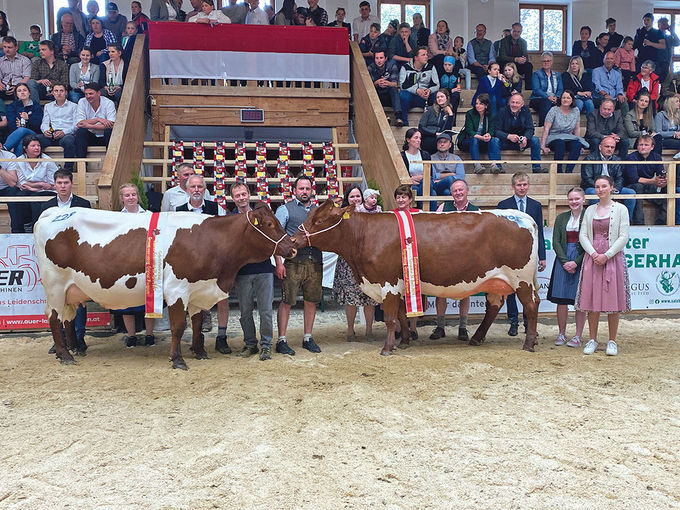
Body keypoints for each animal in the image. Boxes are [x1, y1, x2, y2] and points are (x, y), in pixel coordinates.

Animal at [33, 205, 294, 368]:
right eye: (269, 223)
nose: (291, 247)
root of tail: (55, 212)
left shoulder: (198, 291)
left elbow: (196, 324)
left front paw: (199, 352)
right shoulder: (177, 290)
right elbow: (179, 327)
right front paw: (177, 359)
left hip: (71, 289)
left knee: (68, 317)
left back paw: (75, 348)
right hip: (55, 285)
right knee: (54, 317)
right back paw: (65, 355)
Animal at [294, 199, 540, 354]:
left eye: (319, 221)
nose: (294, 240)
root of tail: (525, 217)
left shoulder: (388, 284)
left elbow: (391, 318)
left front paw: (387, 348)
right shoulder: (400, 285)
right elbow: (402, 316)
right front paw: (403, 342)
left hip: (522, 279)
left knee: (531, 305)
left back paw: (528, 343)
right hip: (496, 281)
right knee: (494, 306)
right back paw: (477, 338)